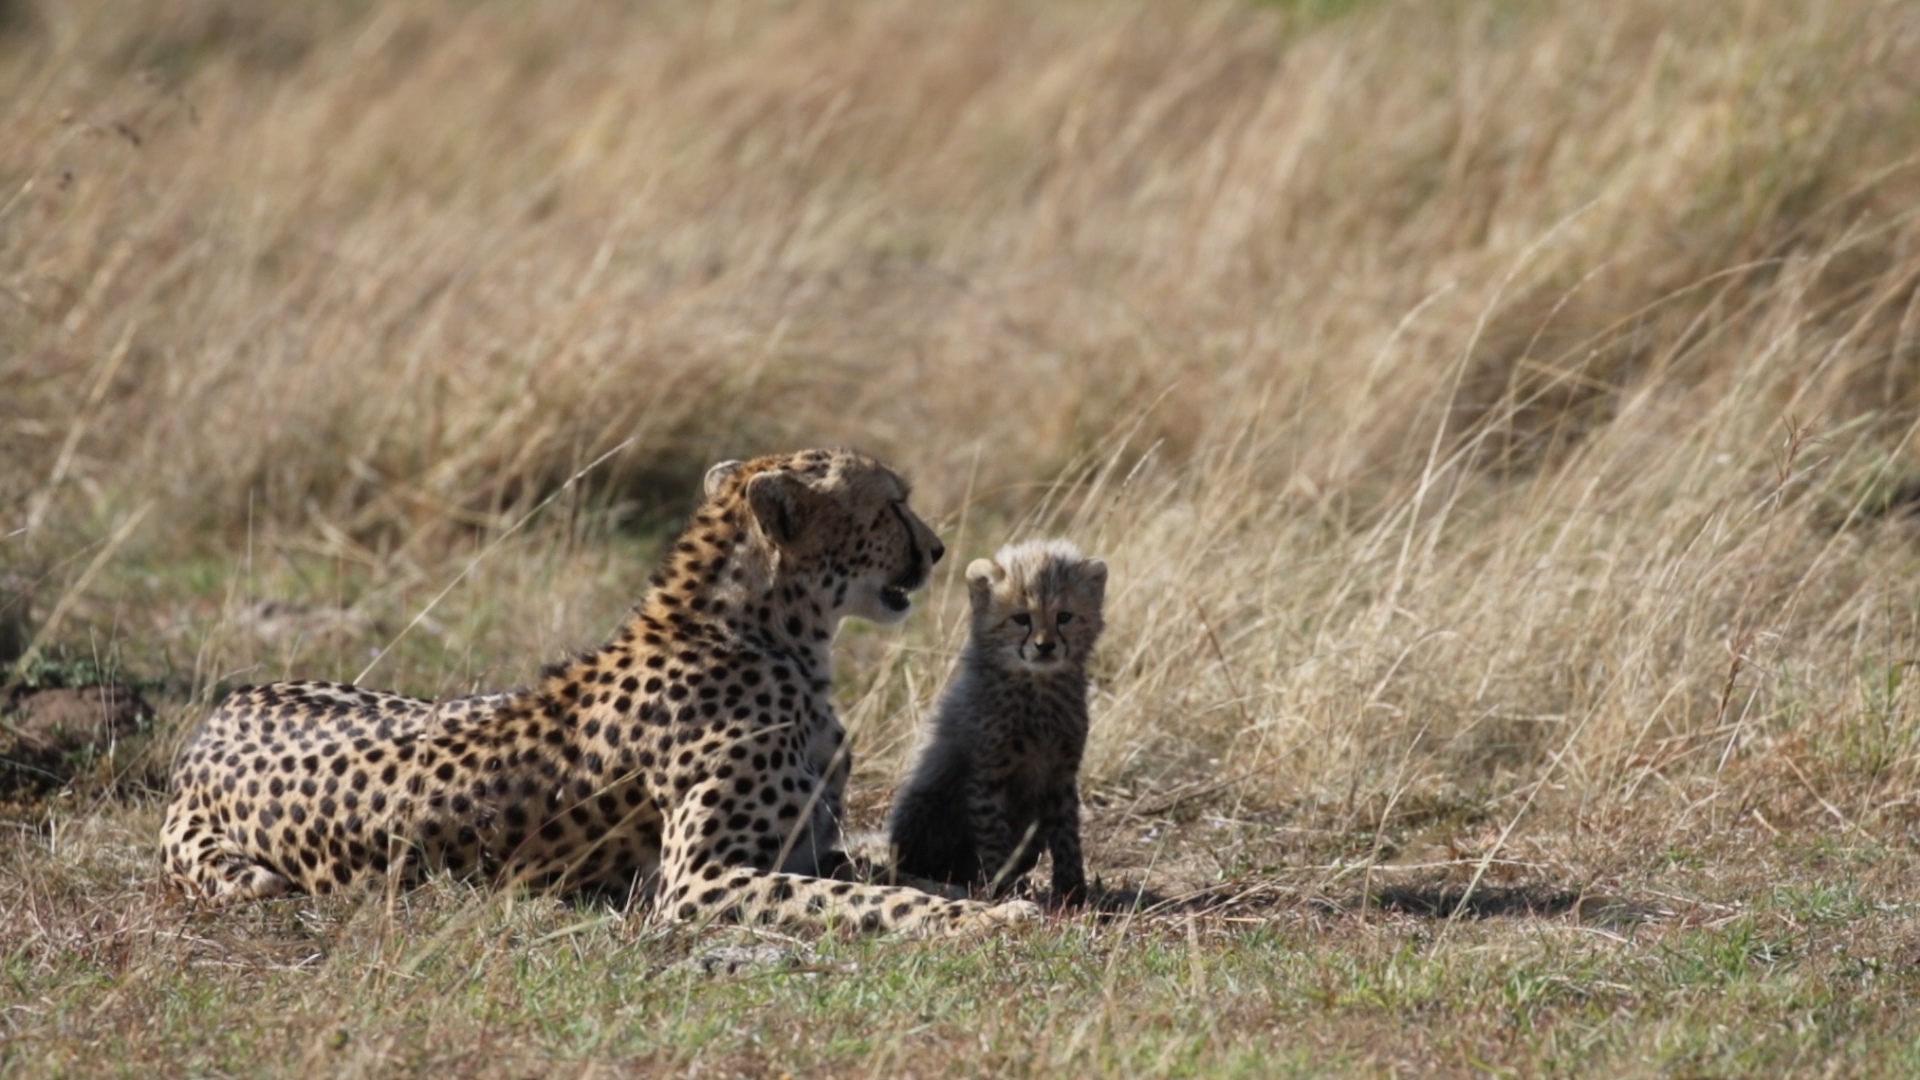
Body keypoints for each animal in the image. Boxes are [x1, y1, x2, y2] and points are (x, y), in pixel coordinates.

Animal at [163, 449, 1036, 930]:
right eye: (891, 504)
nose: (937, 548)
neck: (772, 635)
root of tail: (209, 727)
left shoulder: (813, 852)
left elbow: (904, 879)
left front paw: (1005, 897)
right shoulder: (696, 882)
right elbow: (879, 902)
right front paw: (988, 920)